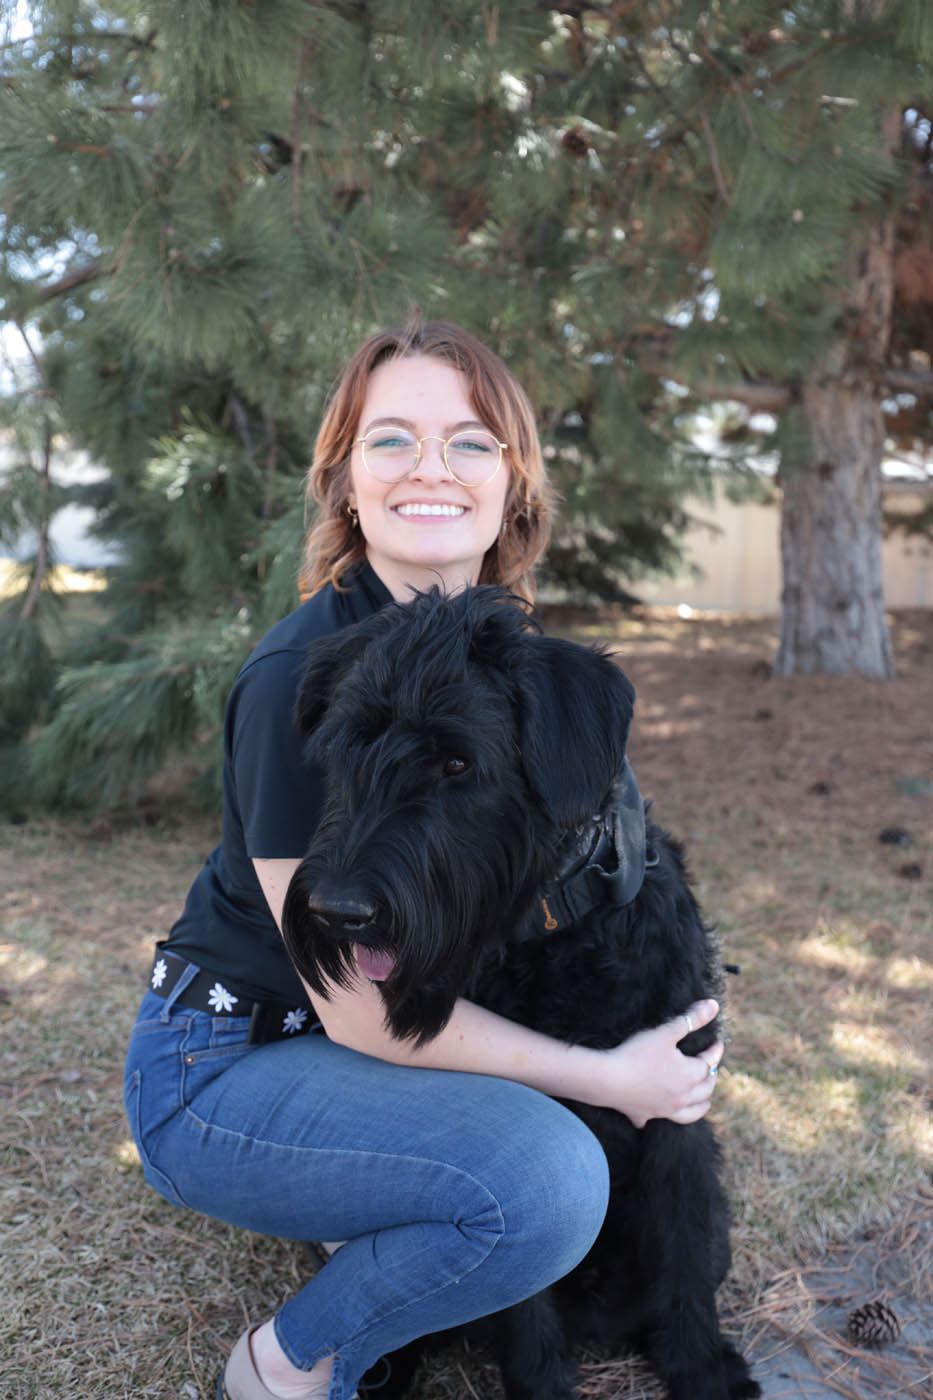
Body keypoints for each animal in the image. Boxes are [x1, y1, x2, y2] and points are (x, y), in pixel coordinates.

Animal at [281, 588, 756, 1400]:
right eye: (347, 745)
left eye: (456, 761)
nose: (338, 912)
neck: (554, 932)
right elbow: (527, 1304)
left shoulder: (678, 1110)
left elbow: (685, 1251)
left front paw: (701, 1368)